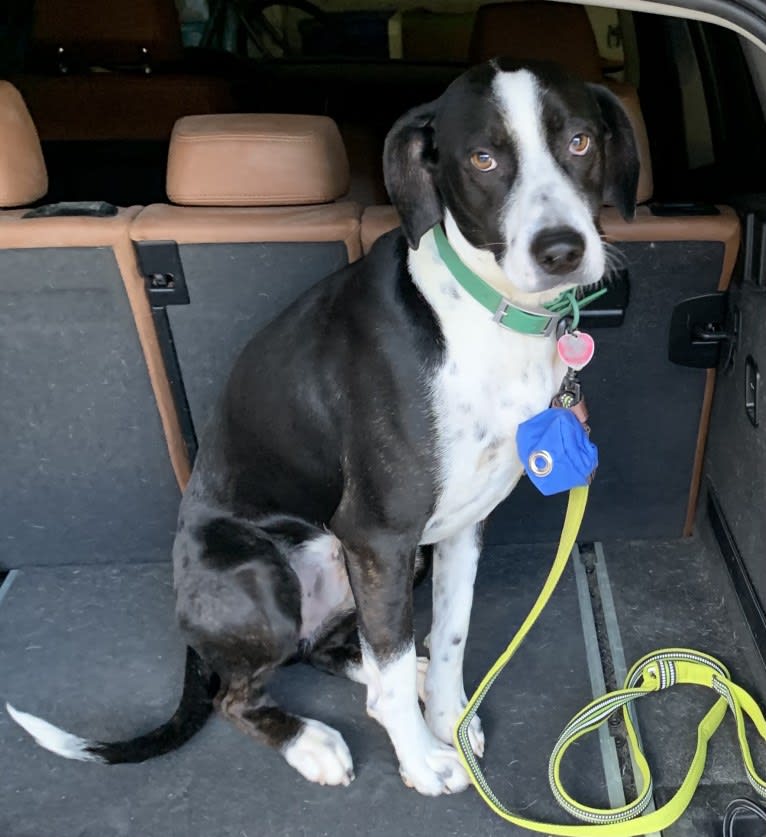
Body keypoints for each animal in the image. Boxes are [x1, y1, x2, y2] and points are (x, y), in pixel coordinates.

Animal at [7, 58, 640, 796]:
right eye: (483, 158)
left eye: (579, 142)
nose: (562, 250)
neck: (486, 316)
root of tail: (192, 630)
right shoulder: (379, 534)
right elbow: (389, 668)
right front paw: (423, 757)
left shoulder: (458, 528)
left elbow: (451, 640)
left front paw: (447, 718)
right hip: (262, 571)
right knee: (243, 692)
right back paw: (310, 741)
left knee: (335, 649)